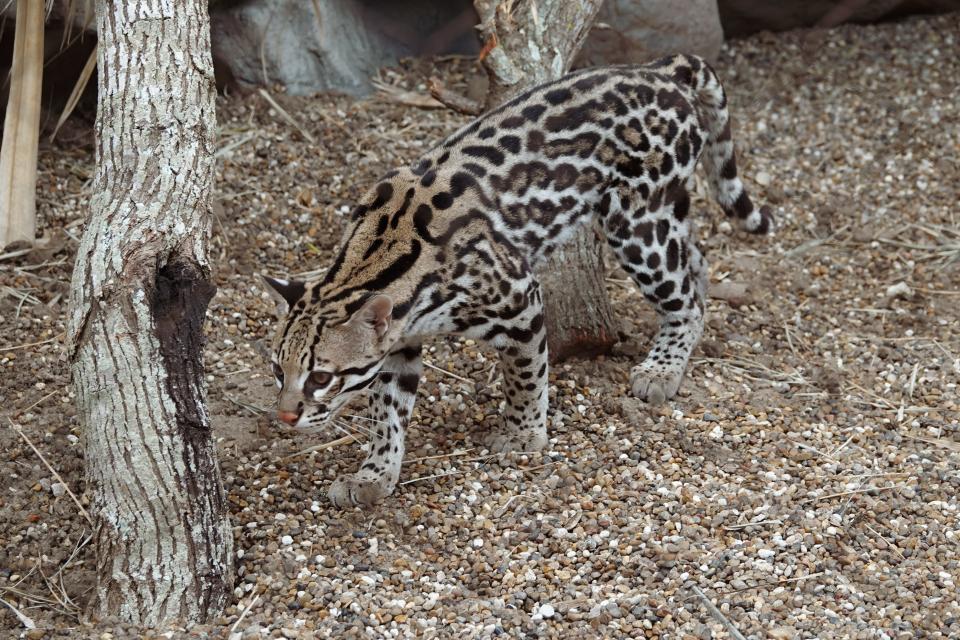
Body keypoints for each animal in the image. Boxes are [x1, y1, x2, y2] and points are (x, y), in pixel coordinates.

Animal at [260, 55, 772, 504]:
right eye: (277, 370)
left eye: (321, 377)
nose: (285, 416)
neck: (377, 257)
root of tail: (658, 69)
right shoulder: (398, 344)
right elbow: (386, 414)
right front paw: (375, 474)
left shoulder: (519, 297)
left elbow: (524, 375)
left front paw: (524, 434)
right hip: (663, 211)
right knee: (697, 259)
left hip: (636, 224)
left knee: (685, 299)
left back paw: (663, 366)